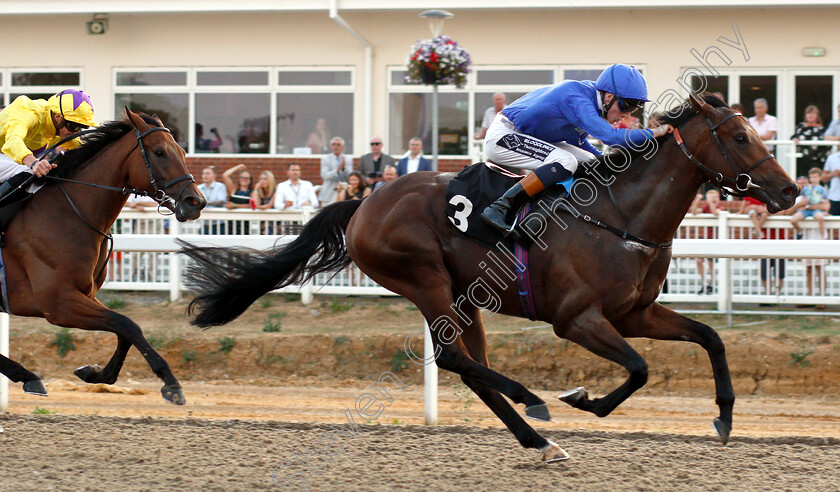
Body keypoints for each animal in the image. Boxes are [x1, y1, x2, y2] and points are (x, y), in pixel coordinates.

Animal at [0, 109, 205, 406]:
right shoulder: (59, 304)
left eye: (182, 151)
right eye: (159, 152)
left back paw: (27, 376)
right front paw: (171, 383)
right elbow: (127, 324)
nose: (195, 202)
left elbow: (125, 329)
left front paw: (96, 373)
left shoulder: (86, 295)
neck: (67, 213)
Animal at [180, 95, 796, 462]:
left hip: (463, 296)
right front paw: (582, 399)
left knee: (471, 367)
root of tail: (363, 202)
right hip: (424, 279)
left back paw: (538, 439)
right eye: (740, 138)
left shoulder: (633, 313)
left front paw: (723, 418)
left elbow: (710, 338)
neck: (619, 215)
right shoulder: (577, 319)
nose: (789, 191)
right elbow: (640, 369)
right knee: (456, 358)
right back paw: (535, 403)